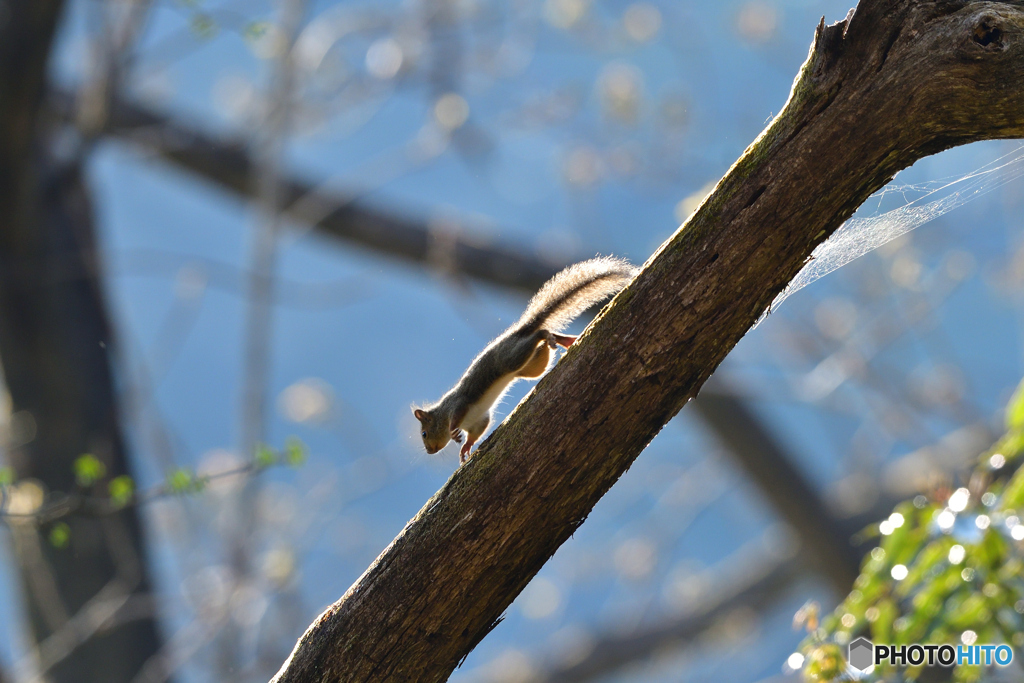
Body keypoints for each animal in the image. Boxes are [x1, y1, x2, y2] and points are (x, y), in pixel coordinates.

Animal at [411, 255, 634, 464]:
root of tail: (519, 332)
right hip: (532, 366)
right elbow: (476, 433)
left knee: (539, 333)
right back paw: (565, 340)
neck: (442, 412)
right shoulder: (478, 420)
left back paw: (549, 337)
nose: (429, 451)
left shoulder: (458, 404)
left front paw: (454, 431)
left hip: (512, 357)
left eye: (424, 433)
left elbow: (458, 418)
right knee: (544, 337)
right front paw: (465, 447)